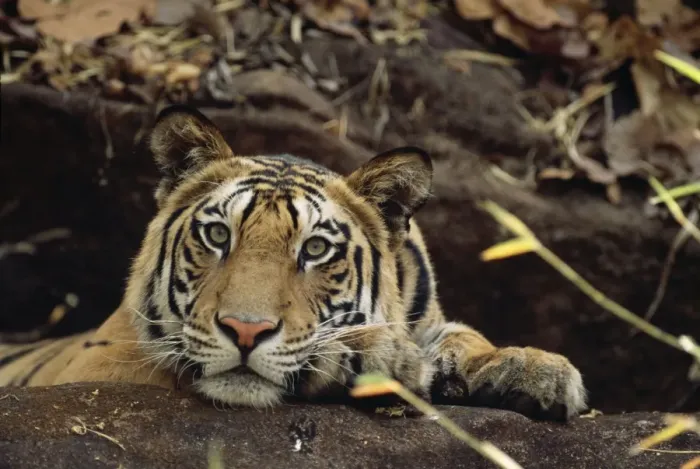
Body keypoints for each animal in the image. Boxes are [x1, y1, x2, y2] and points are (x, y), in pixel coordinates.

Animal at [0, 105, 587, 420]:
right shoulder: (101, 366)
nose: (245, 331)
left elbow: (467, 336)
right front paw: (376, 358)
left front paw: (535, 369)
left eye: (315, 249)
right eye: (218, 235)